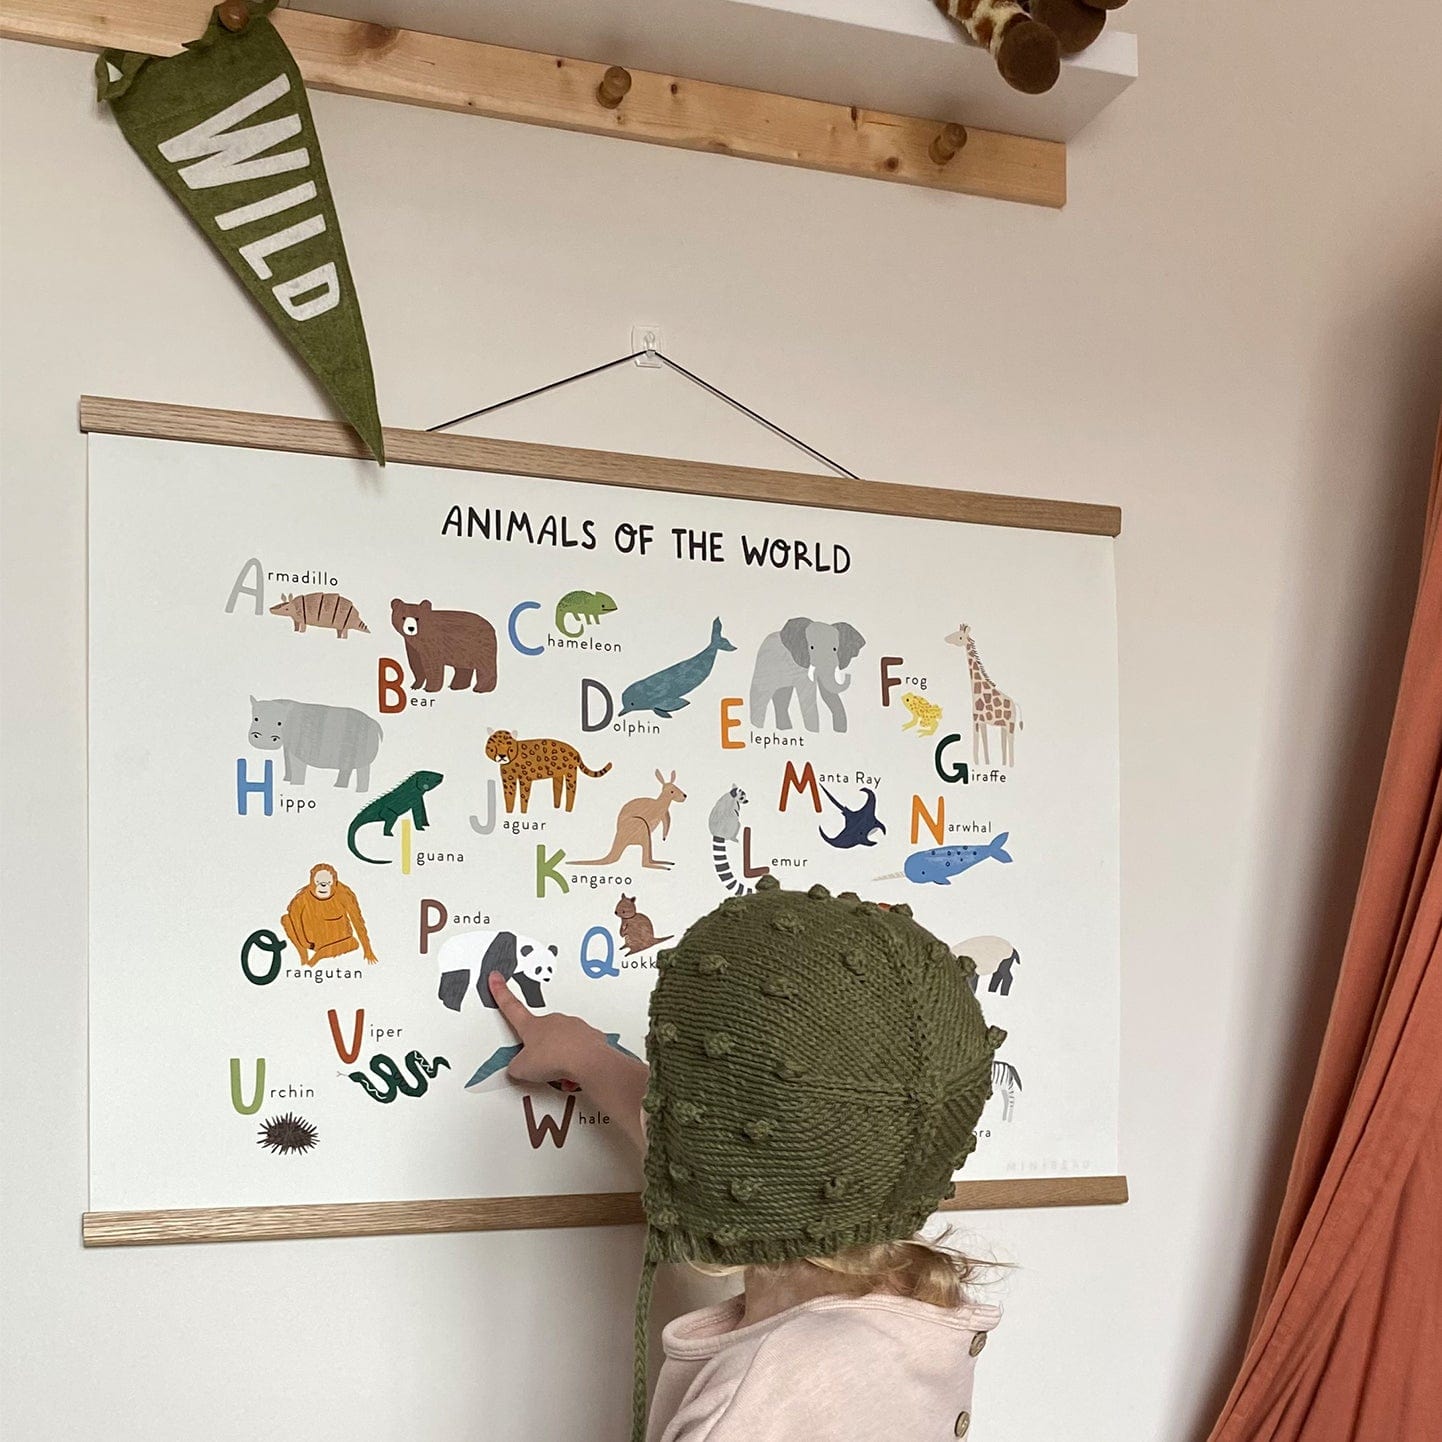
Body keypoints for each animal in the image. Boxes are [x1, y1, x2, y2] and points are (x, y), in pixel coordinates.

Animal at [246, 695, 383, 795]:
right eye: (255, 718)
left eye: (280, 723)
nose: (263, 740)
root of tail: (375, 723)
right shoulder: (288, 748)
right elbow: (288, 763)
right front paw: (286, 780)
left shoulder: (299, 749)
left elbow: (297, 767)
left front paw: (295, 785)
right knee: (348, 769)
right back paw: (339, 787)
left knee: (363, 771)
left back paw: (359, 792)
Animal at [945, 625, 1026, 772]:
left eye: (960, 637)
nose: (945, 638)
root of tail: (1015, 704)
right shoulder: (982, 722)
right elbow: (984, 742)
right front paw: (987, 763)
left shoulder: (976, 719)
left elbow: (976, 741)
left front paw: (976, 763)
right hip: (1004, 725)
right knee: (1004, 744)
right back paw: (1004, 765)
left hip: (1010, 725)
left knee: (1011, 742)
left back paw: (1011, 765)